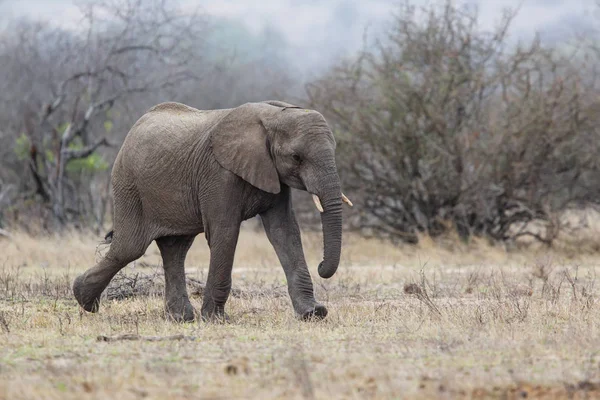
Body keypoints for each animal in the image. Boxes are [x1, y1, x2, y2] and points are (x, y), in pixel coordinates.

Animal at [71, 100, 352, 322]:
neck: (274, 115)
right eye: (296, 157)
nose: (321, 266)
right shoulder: (218, 174)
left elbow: (284, 232)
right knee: (129, 247)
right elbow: (225, 233)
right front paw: (215, 319)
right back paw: (82, 298)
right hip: (129, 185)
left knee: (175, 249)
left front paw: (313, 314)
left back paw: (181, 318)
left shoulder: (273, 175)